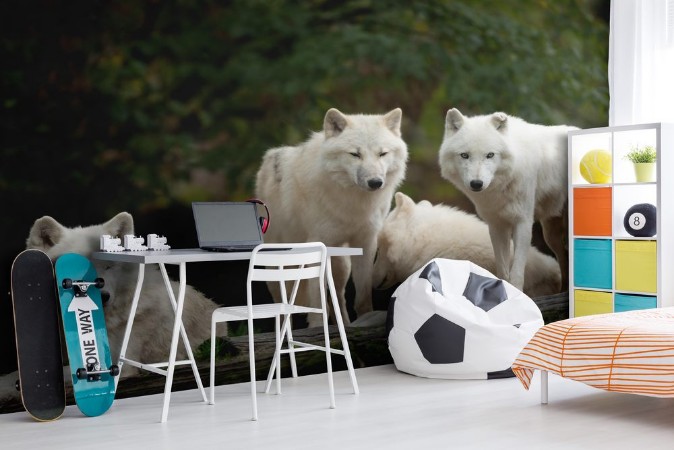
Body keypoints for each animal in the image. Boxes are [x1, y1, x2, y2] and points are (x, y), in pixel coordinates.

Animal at [256, 107, 404, 324]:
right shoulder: (318, 245)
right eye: (355, 154)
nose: (375, 182)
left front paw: (364, 319)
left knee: (338, 299)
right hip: (278, 264)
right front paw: (317, 327)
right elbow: (318, 302)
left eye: (382, 153)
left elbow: (362, 298)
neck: (352, 203)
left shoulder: (366, 242)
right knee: (284, 306)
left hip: (341, 265)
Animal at [438, 110, 576, 290]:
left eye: (490, 155)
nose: (476, 183)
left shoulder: (523, 222)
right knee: (563, 256)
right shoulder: (497, 225)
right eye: (464, 155)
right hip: (551, 234)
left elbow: (517, 272)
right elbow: (502, 269)